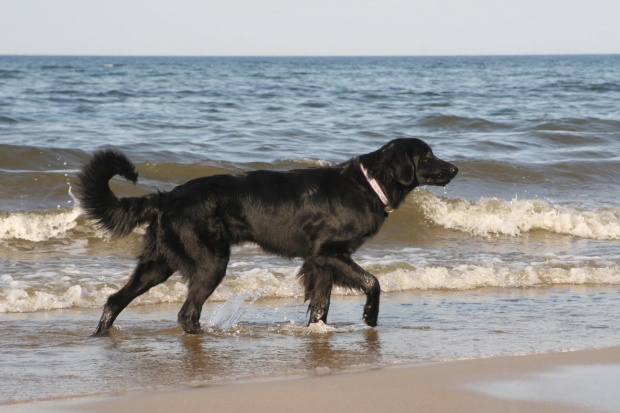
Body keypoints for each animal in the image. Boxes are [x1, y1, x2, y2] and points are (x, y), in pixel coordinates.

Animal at [76, 138, 456, 334]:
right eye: (426, 156)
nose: (454, 168)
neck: (366, 184)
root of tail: (168, 197)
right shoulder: (329, 253)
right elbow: (373, 282)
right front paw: (369, 318)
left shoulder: (320, 262)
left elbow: (321, 304)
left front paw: (319, 332)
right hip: (211, 261)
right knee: (187, 313)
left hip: (159, 263)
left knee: (114, 300)